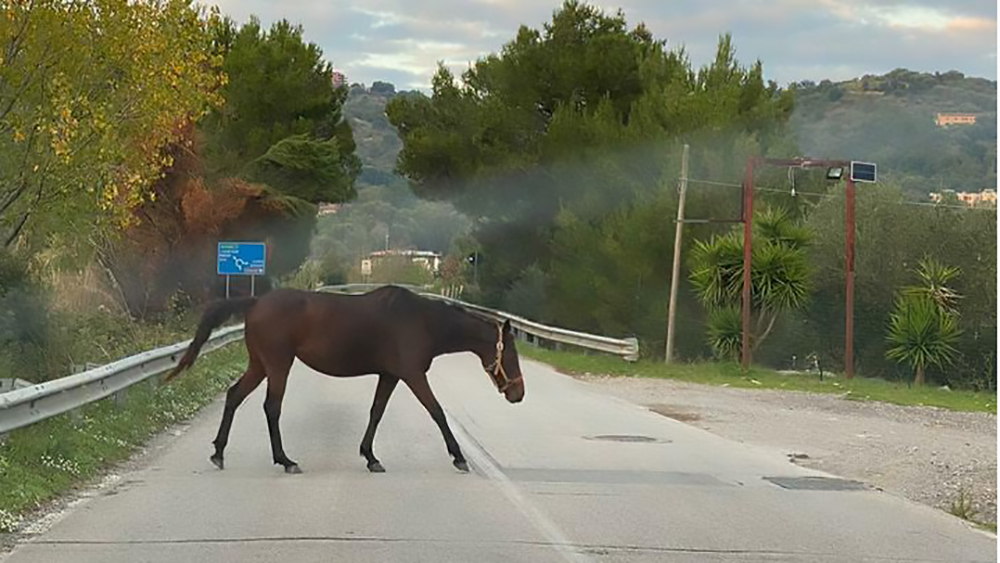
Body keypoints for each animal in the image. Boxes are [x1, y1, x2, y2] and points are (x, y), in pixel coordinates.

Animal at [164, 285, 525, 474]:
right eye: (510, 354)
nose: (518, 394)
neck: (422, 321)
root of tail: (256, 302)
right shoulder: (412, 375)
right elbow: (436, 412)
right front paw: (459, 457)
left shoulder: (390, 375)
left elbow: (376, 413)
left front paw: (370, 456)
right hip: (278, 364)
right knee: (272, 407)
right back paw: (285, 460)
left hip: (260, 364)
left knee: (234, 396)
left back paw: (219, 452)